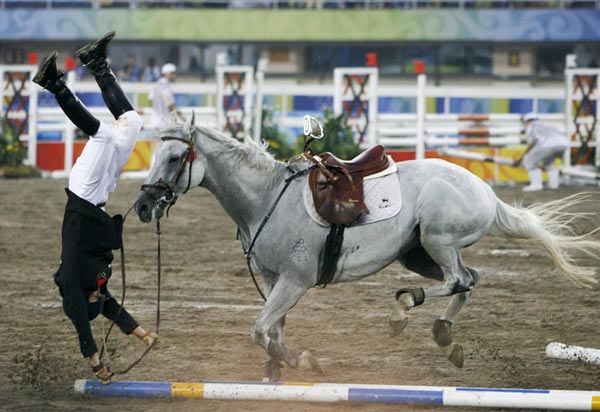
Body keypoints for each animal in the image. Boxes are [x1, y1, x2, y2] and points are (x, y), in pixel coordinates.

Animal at [136, 119, 600, 384]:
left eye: (175, 157)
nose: (142, 207)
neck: (266, 198)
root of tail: (485, 189)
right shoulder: (272, 280)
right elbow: (270, 331)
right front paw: (274, 375)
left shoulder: (295, 281)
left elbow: (260, 330)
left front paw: (303, 362)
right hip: (420, 252)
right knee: (470, 281)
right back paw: (445, 337)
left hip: (438, 241)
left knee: (457, 280)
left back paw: (404, 308)